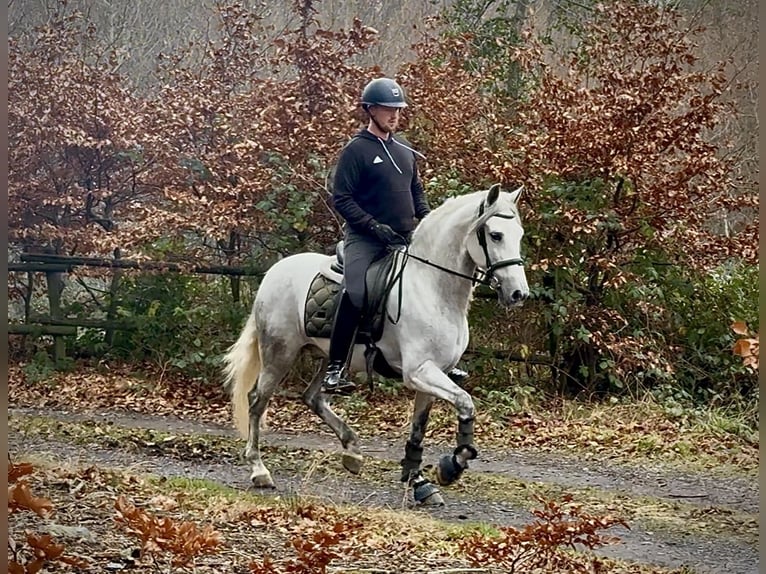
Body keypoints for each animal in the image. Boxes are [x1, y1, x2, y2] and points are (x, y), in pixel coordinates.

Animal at [223, 183, 529, 505]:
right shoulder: (419, 372)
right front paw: (451, 466)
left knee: (313, 397)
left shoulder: (433, 374)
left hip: (326, 356)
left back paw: (352, 451)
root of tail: (274, 272)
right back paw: (259, 470)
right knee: (257, 401)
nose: (518, 293)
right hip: (279, 354)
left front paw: (419, 480)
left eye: (519, 234)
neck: (432, 287)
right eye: (496, 235)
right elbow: (465, 403)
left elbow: (419, 428)